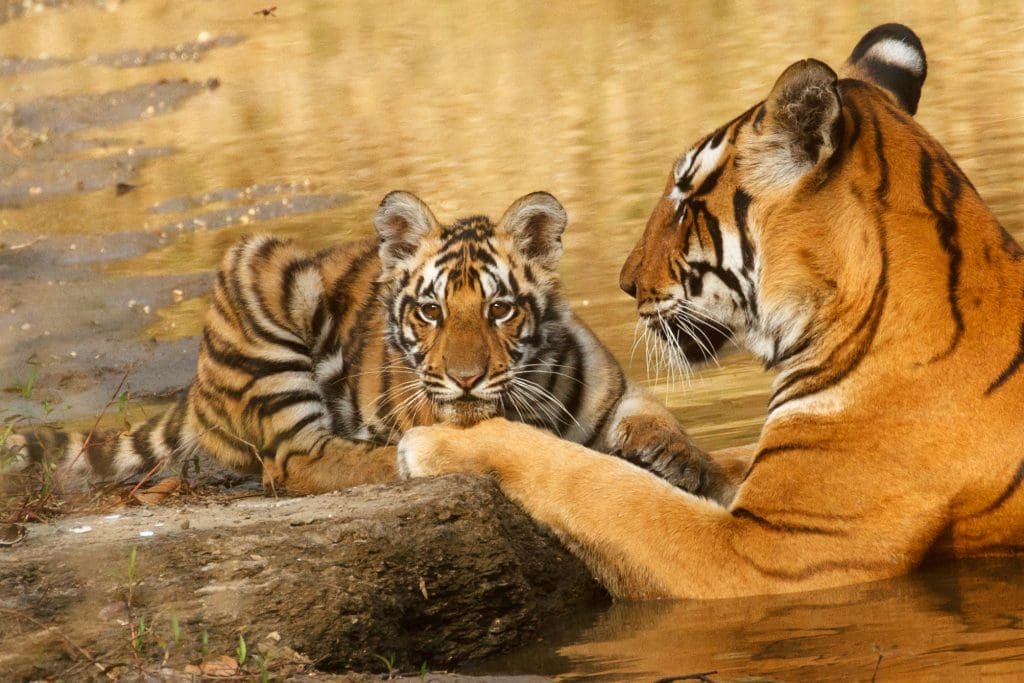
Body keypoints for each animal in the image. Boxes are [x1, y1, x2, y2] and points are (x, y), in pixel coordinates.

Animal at [8, 191, 729, 497]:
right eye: (431, 311)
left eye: (499, 309)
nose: (466, 378)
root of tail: (197, 386)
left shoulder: (616, 392)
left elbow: (660, 419)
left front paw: (685, 462)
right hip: (262, 273)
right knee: (300, 460)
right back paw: (400, 458)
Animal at [395, 22, 1024, 598]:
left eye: (683, 203)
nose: (626, 282)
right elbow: (724, 457)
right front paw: (665, 450)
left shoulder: (766, 552)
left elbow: (593, 482)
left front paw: (444, 443)